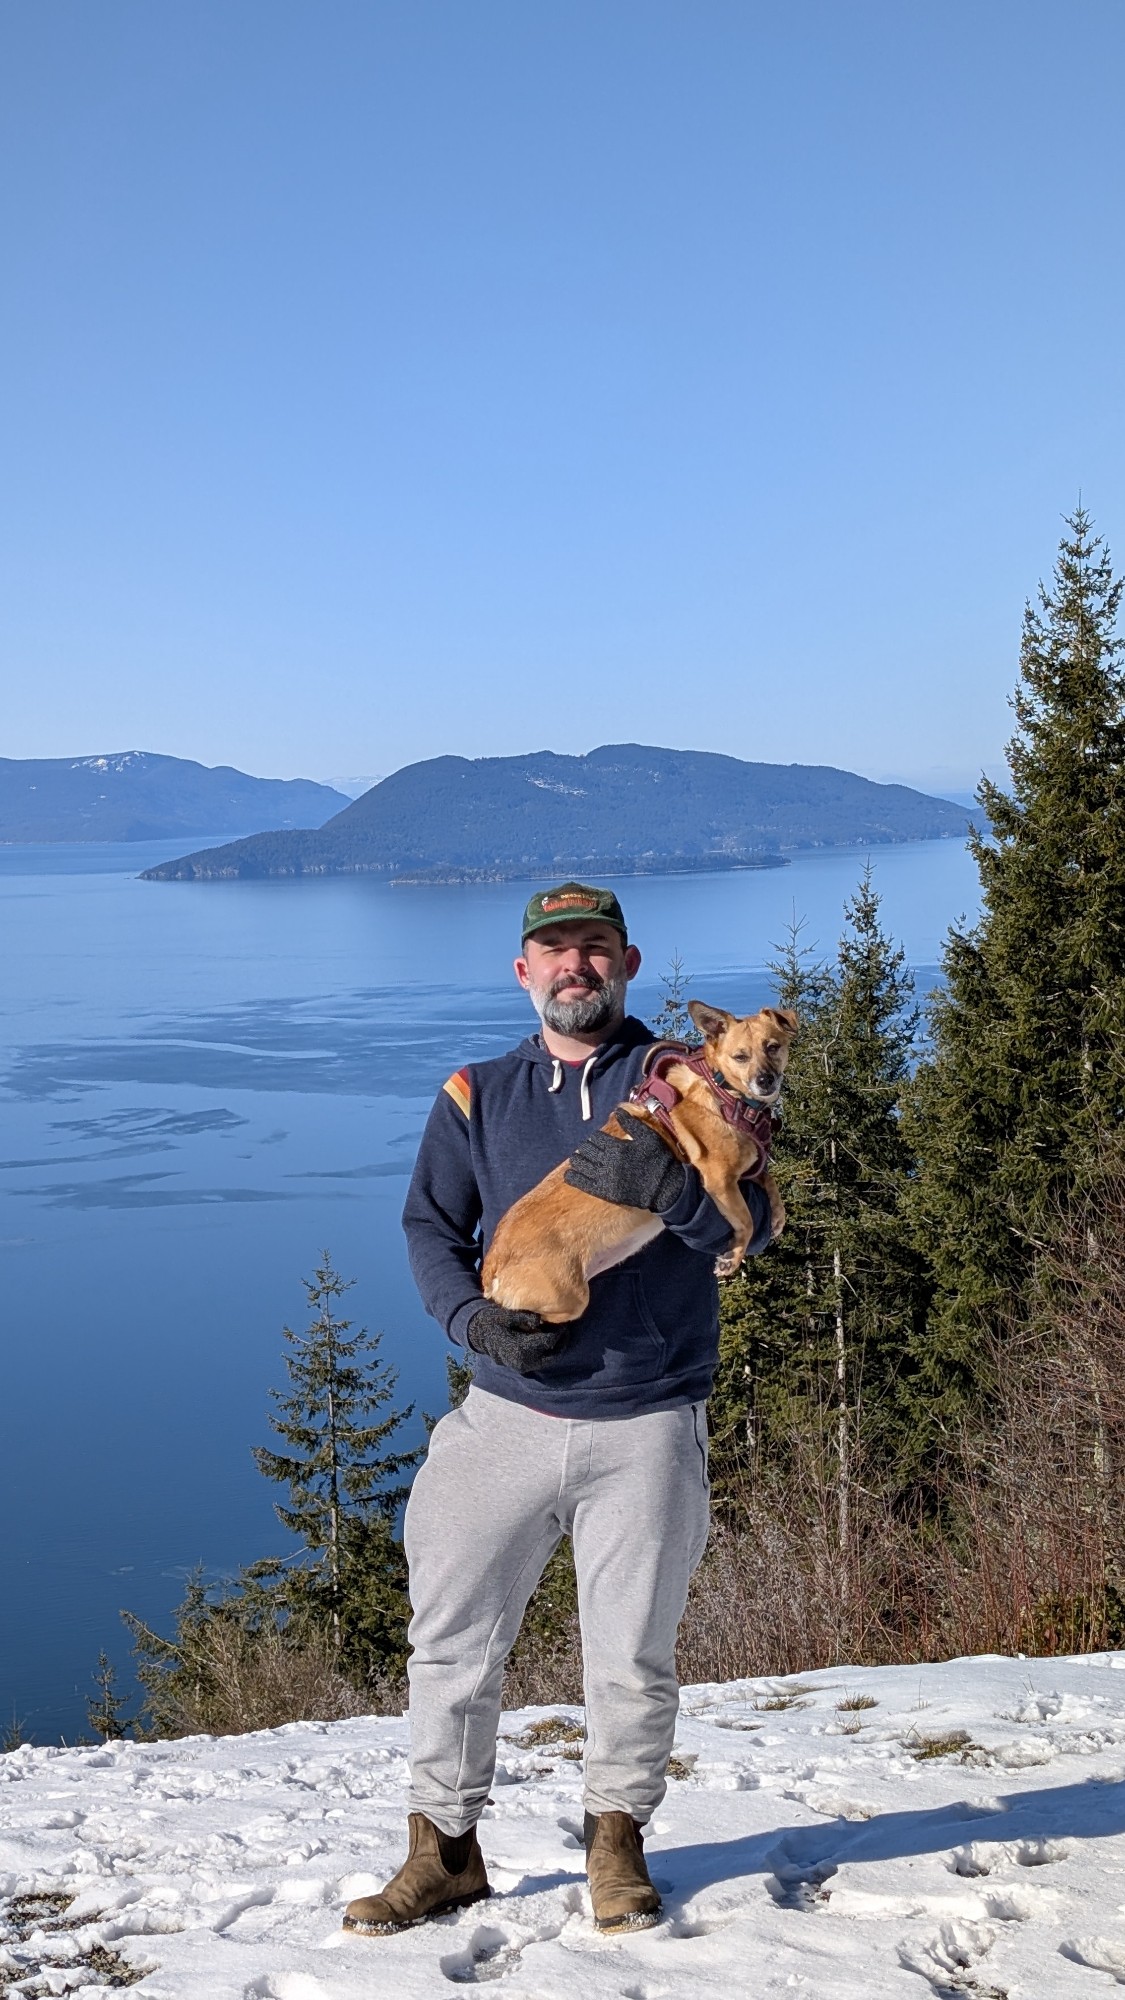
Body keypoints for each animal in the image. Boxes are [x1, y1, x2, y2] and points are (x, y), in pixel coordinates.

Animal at [480, 1002, 797, 1324]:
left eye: (773, 1047)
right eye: (740, 1057)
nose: (765, 1080)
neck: (723, 1092)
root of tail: (491, 1265)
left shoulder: (747, 1167)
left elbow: (767, 1180)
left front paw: (777, 1215)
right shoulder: (719, 1181)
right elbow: (746, 1221)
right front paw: (733, 1257)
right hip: (571, 1300)